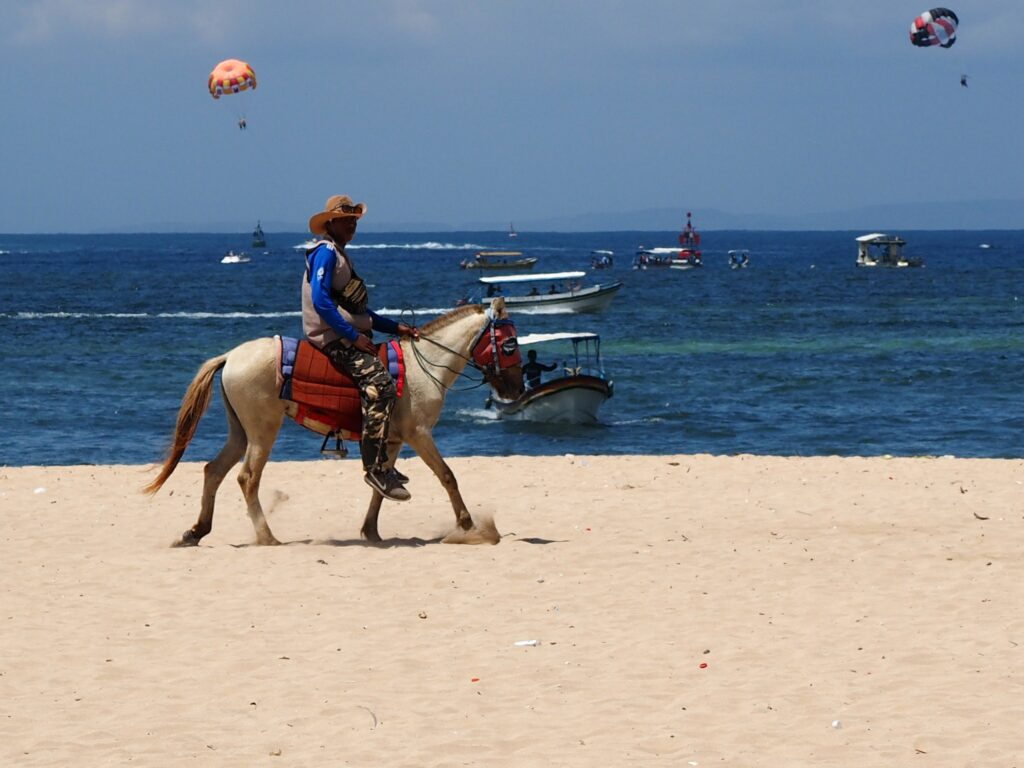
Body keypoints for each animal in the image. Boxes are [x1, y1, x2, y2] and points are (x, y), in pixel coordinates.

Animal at [144, 299, 524, 548]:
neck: (422, 367)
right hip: (262, 431)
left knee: (214, 471)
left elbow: (379, 485)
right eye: (509, 345)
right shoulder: (419, 435)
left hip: (240, 431)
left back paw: (196, 532)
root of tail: (231, 356)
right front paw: (468, 525)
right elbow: (447, 475)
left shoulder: (392, 440)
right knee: (247, 477)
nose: (517, 389)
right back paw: (266, 537)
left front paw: (371, 531)